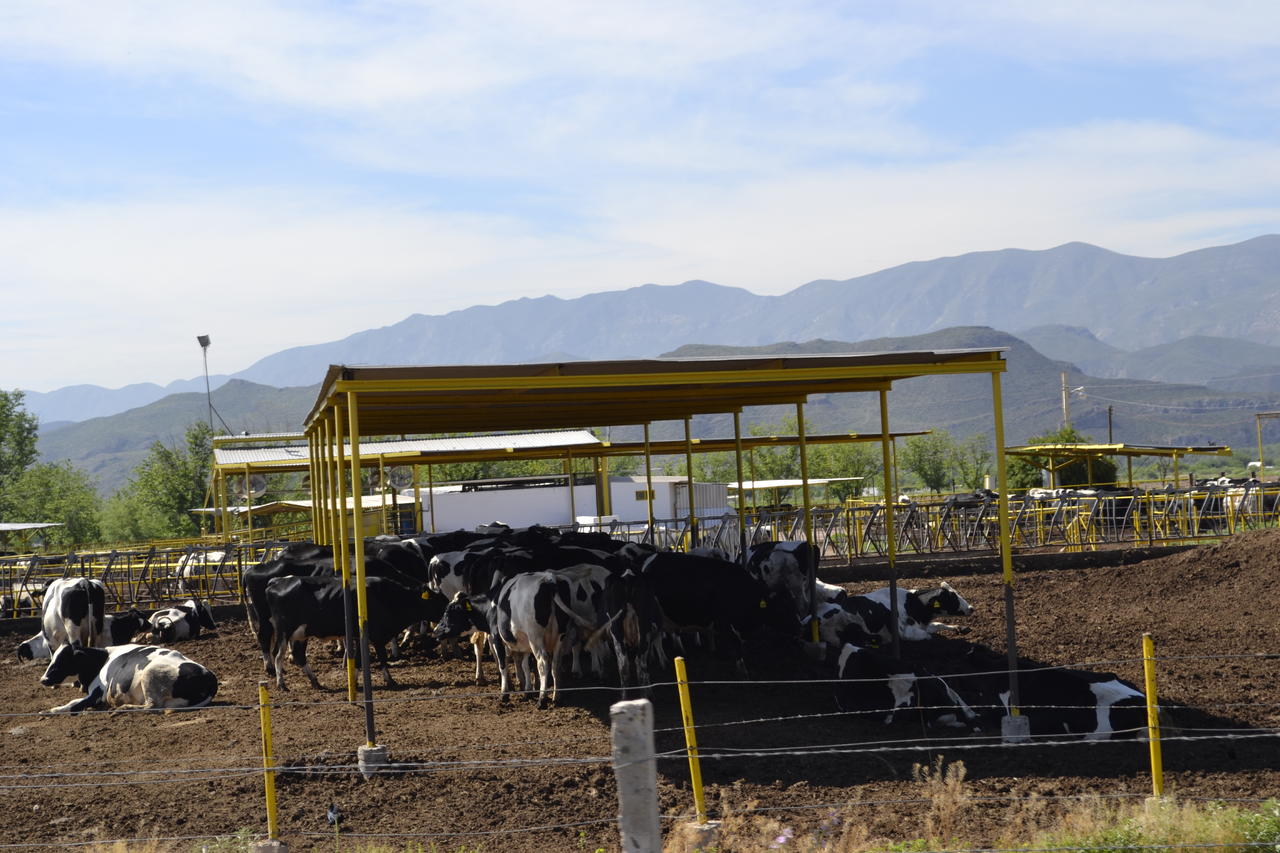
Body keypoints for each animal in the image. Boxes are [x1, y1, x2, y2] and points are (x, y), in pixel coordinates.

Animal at [38, 645, 220, 712]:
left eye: (63, 660)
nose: (43, 679)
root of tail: (210, 677)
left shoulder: (97, 693)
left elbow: (75, 704)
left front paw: (52, 711)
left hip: (150, 675)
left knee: (152, 706)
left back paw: (124, 708)